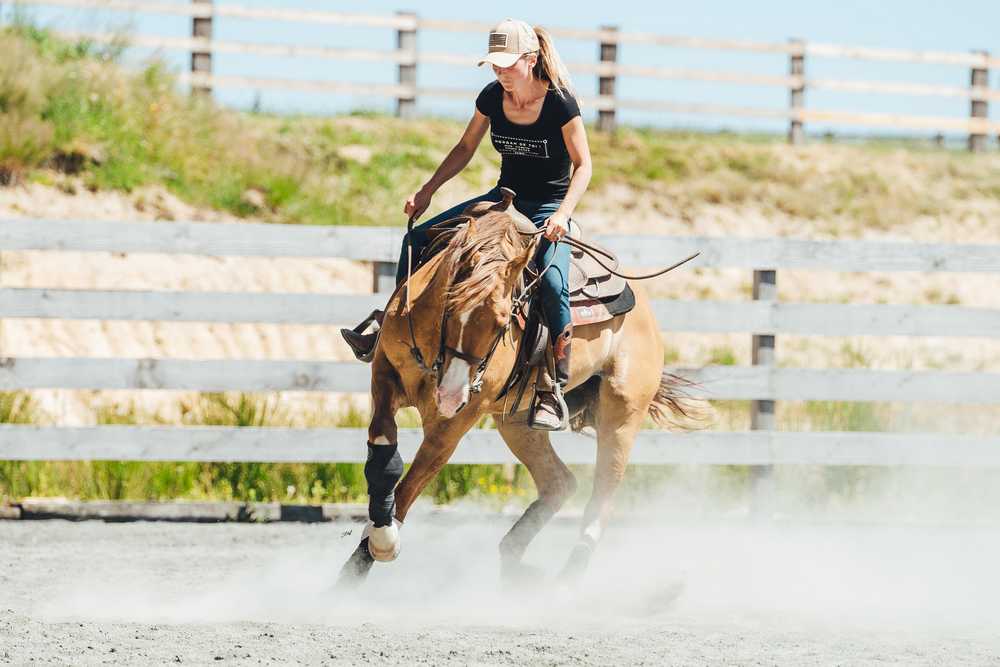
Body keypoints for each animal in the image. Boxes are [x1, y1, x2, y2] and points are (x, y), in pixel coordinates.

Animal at [340, 190, 700, 588]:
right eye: (449, 307)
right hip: (516, 423)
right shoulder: (385, 375)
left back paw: (566, 581)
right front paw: (360, 558)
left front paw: (379, 546)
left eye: (503, 323)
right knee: (560, 482)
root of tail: (646, 313)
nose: (450, 395)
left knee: (602, 496)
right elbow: (384, 458)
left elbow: (413, 481)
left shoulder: (456, 421)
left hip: (622, 412)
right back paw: (516, 562)